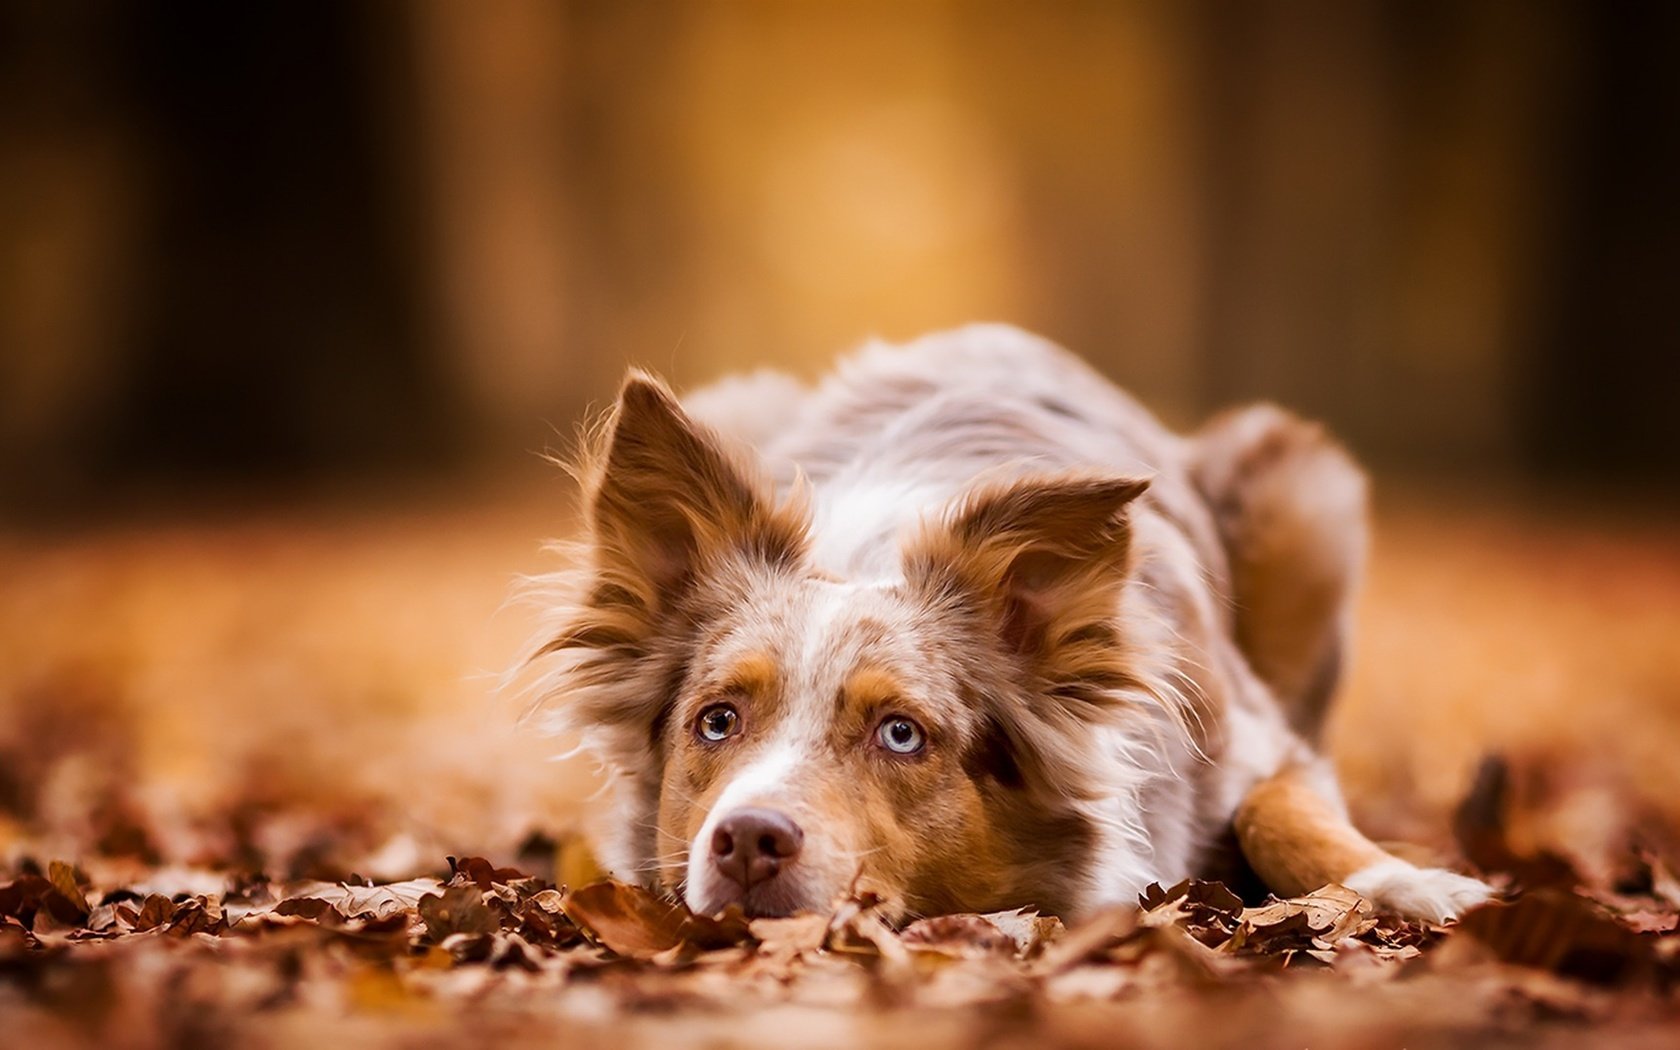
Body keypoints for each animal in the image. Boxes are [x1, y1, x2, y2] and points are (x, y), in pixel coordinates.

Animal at [520, 324, 1485, 920]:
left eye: (901, 734)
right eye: (716, 721)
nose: (748, 840)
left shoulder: (1260, 738)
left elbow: (1280, 816)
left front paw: (1416, 887)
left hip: (1304, 491)